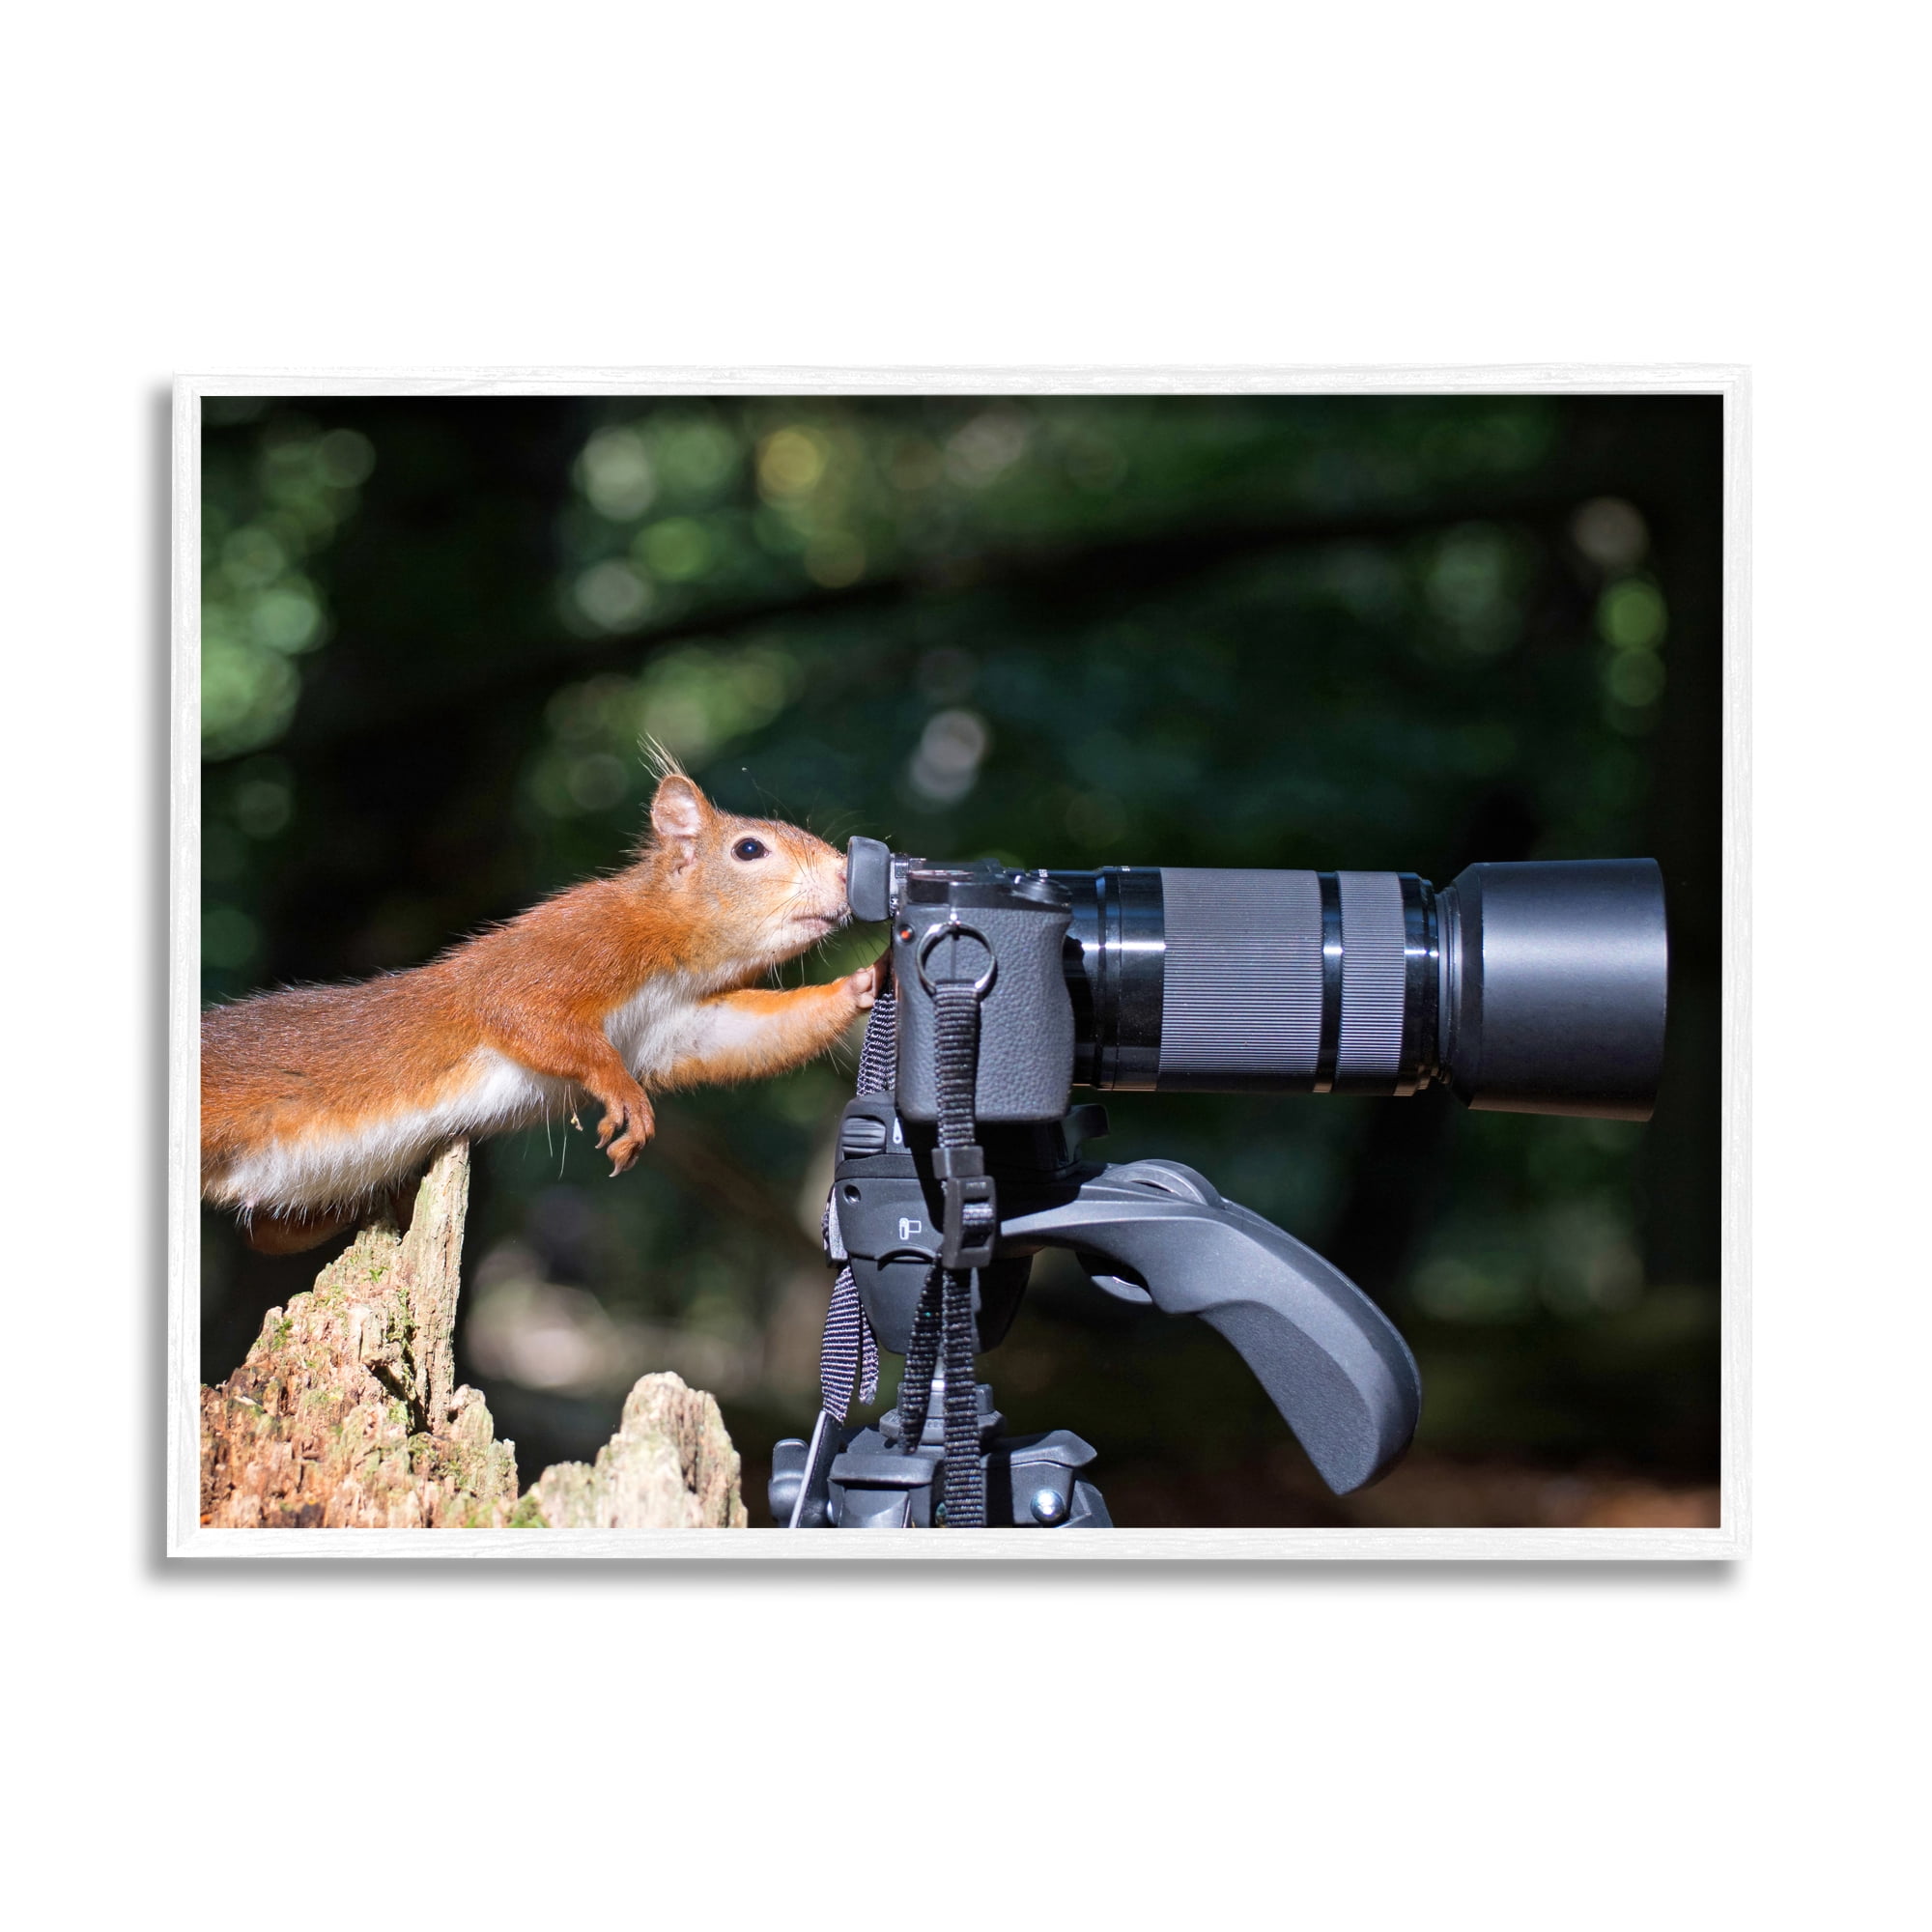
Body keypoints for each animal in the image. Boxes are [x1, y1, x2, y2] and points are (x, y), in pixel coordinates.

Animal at [201, 766, 883, 1256]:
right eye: (749, 850)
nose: (847, 874)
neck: (677, 954)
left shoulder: (675, 1026)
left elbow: (743, 1035)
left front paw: (869, 979)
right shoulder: (568, 948)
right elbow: (520, 1011)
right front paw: (622, 1094)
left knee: (269, 1236)